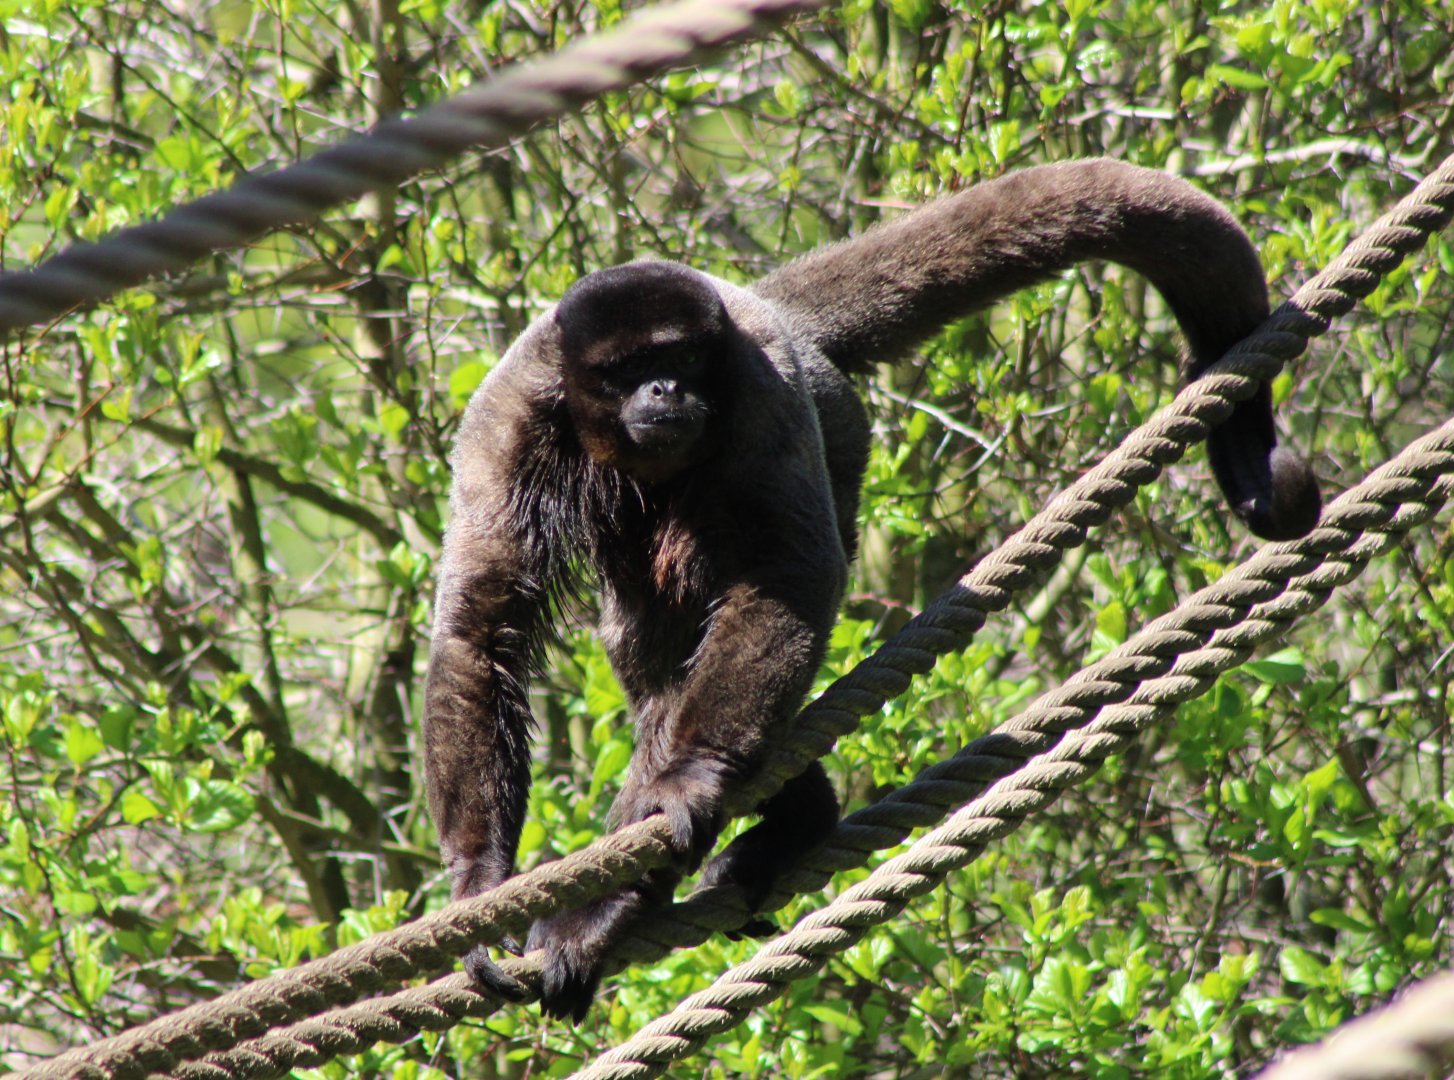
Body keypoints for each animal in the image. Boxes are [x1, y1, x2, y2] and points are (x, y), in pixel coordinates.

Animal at [423, 159, 1321, 1023]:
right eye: (630, 369)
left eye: (679, 360)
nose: (665, 392)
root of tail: (764, 303)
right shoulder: (509, 421)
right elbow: (482, 627)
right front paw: (478, 885)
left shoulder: (762, 389)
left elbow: (786, 576)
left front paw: (687, 781)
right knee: (650, 645)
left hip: (834, 419)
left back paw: (661, 885)